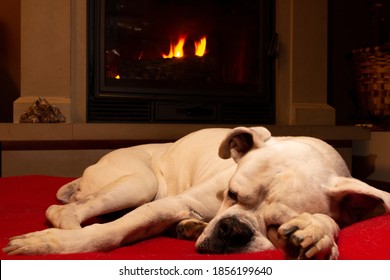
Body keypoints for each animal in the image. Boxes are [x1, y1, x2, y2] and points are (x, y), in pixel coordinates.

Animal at [3, 126, 390, 258]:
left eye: (278, 225)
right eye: (232, 194)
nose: (233, 230)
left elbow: (331, 221)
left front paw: (315, 234)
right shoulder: (175, 202)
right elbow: (108, 234)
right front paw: (53, 245)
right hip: (138, 184)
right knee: (65, 211)